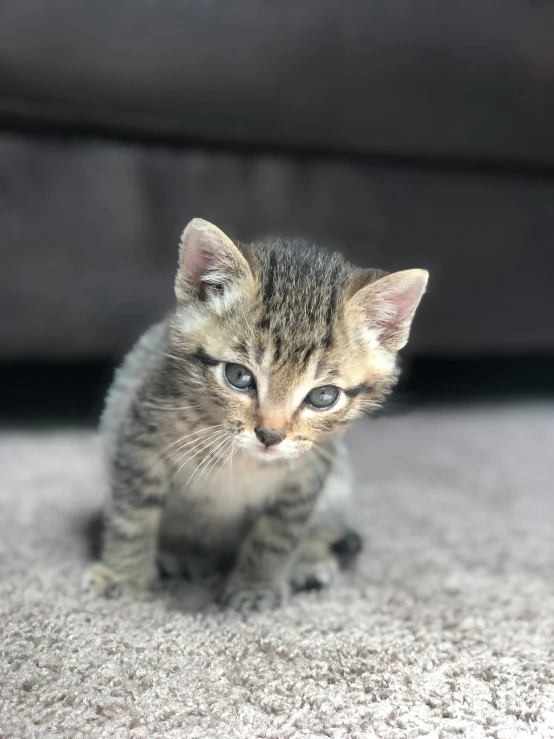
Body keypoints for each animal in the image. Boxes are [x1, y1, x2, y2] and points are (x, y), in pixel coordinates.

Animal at [83, 218, 426, 612]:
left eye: (323, 396)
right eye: (239, 376)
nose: (270, 435)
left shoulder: (307, 474)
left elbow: (276, 534)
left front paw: (256, 584)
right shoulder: (139, 436)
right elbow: (132, 515)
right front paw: (123, 574)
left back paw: (310, 559)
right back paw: (181, 554)